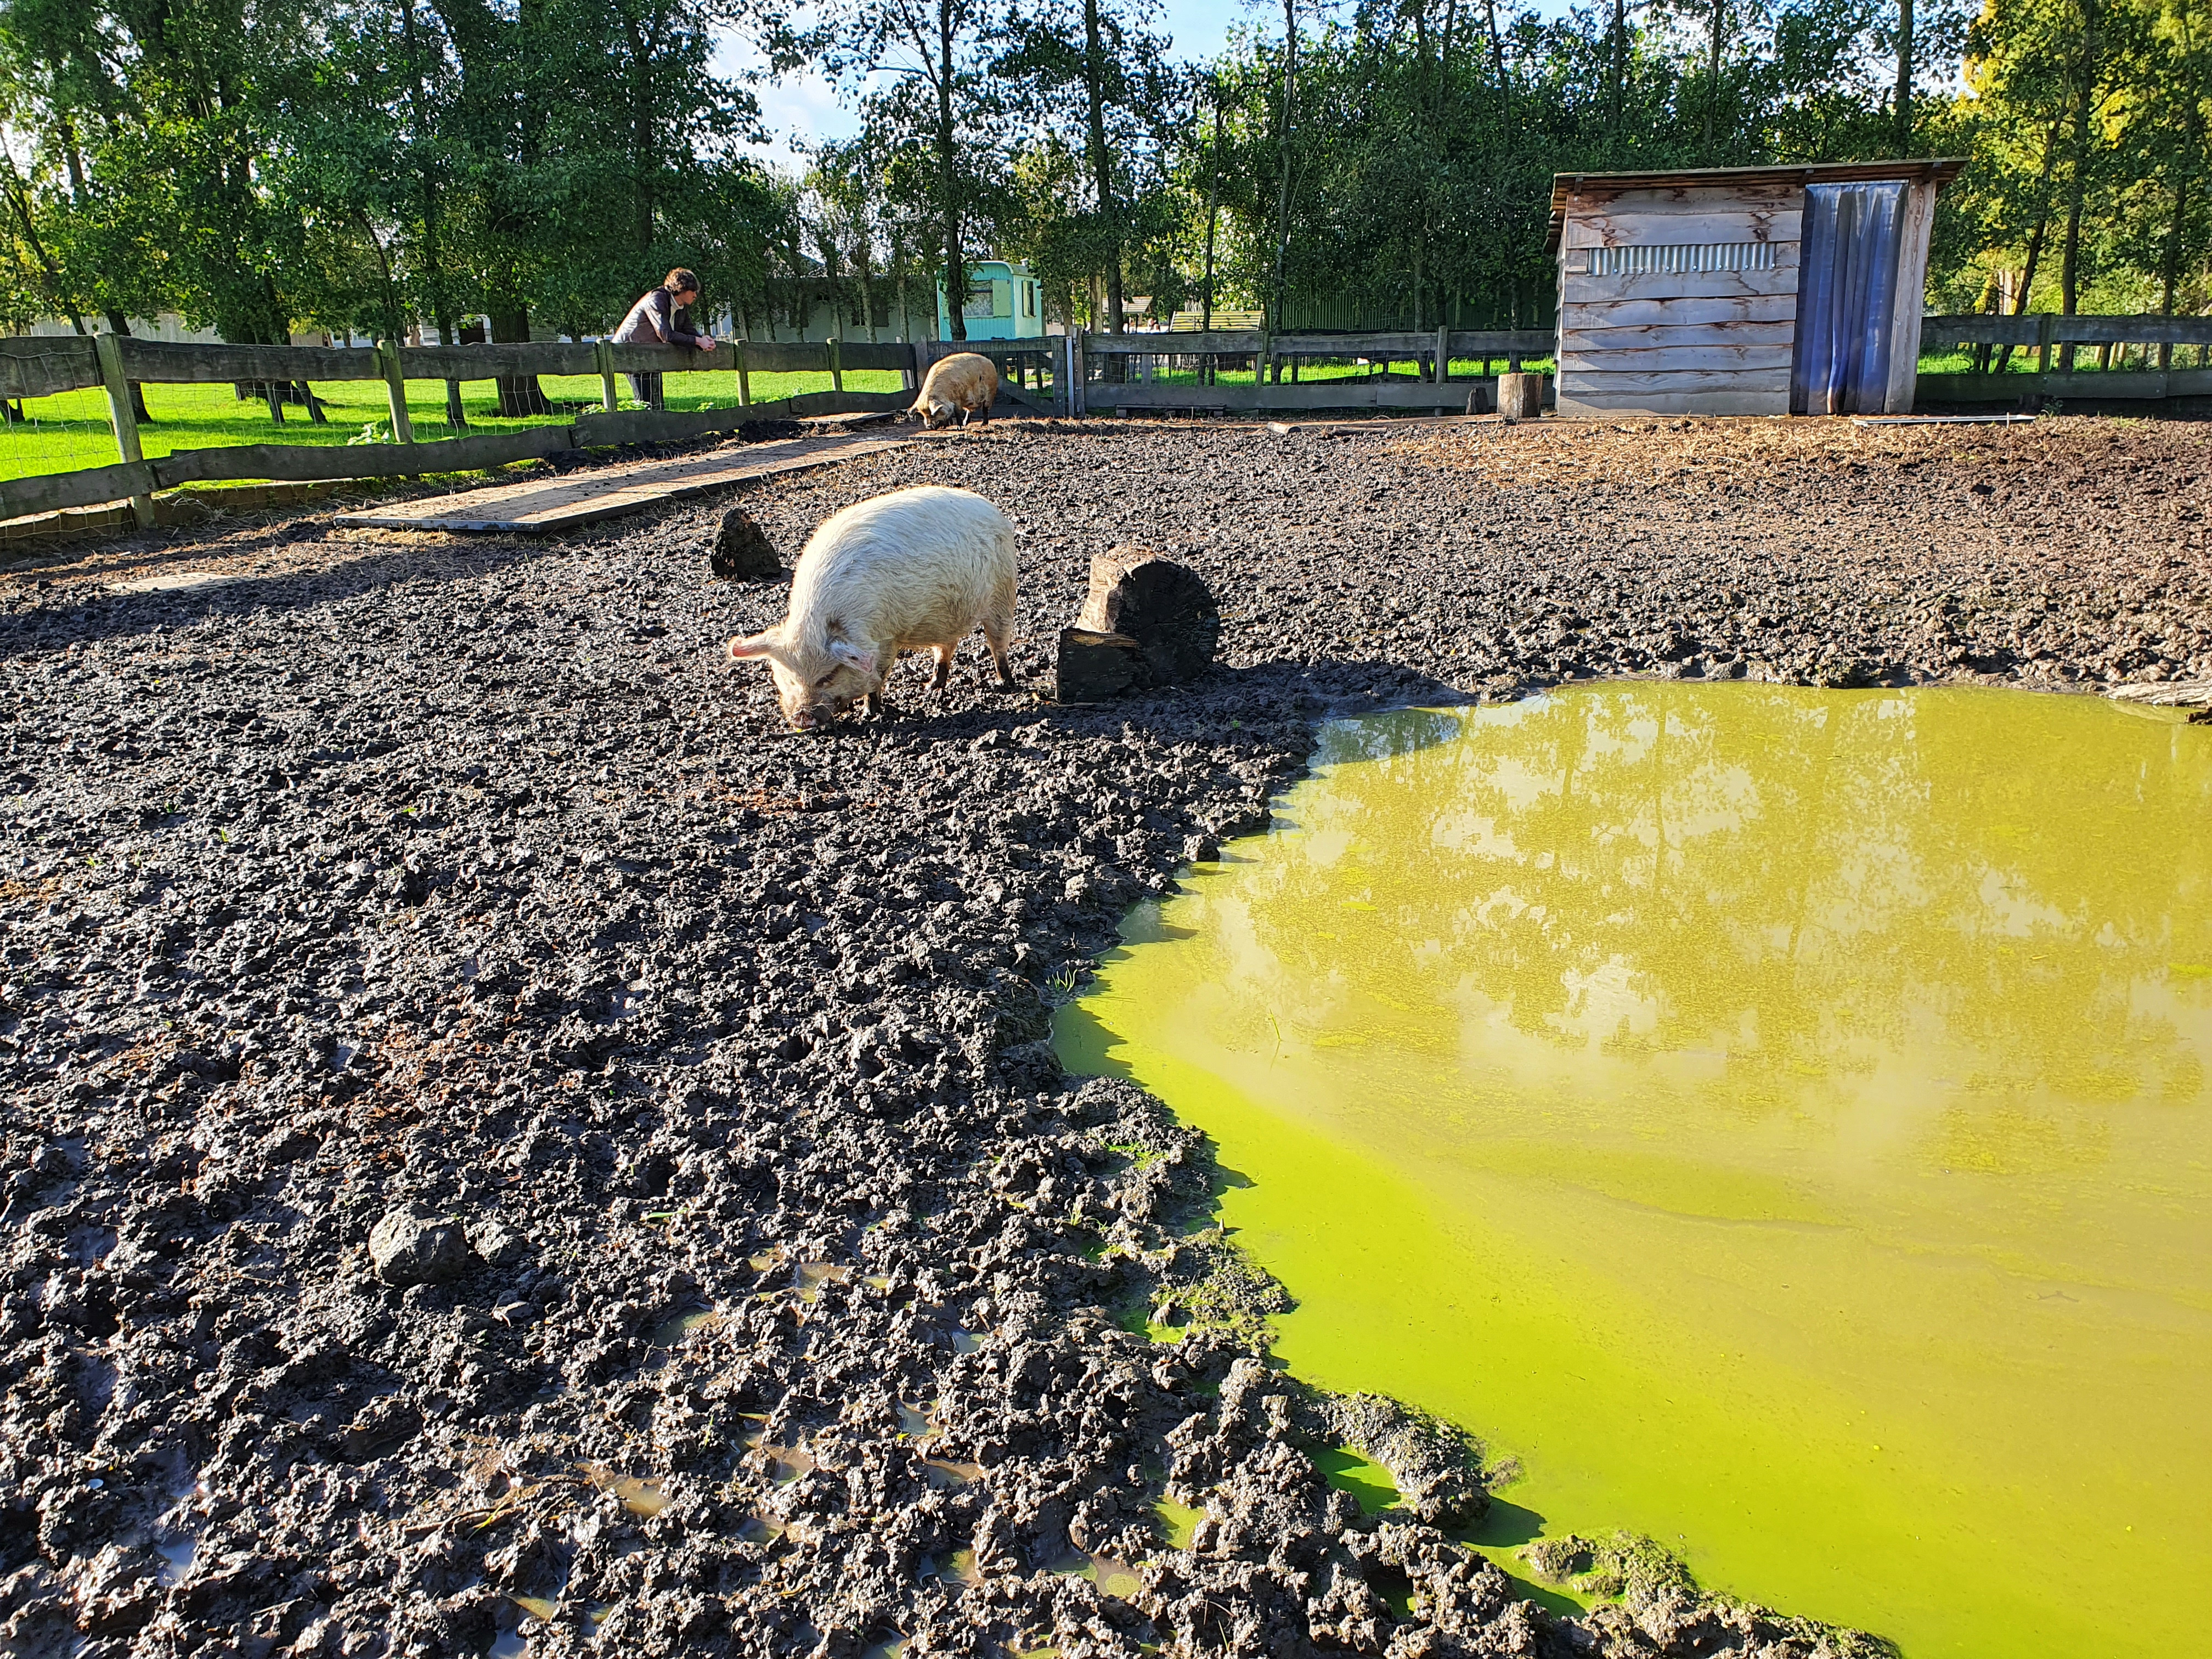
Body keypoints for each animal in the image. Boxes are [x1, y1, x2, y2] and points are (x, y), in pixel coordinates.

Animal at [725, 487, 1017, 734]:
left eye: (828, 676)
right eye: (789, 678)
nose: (803, 719)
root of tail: (994, 511)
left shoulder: (887, 636)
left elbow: (878, 673)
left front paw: (870, 713)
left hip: (1003, 593)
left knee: (998, 642)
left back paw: (1004, 684)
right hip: (948, 618)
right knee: (946, 647)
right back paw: (931, 687)